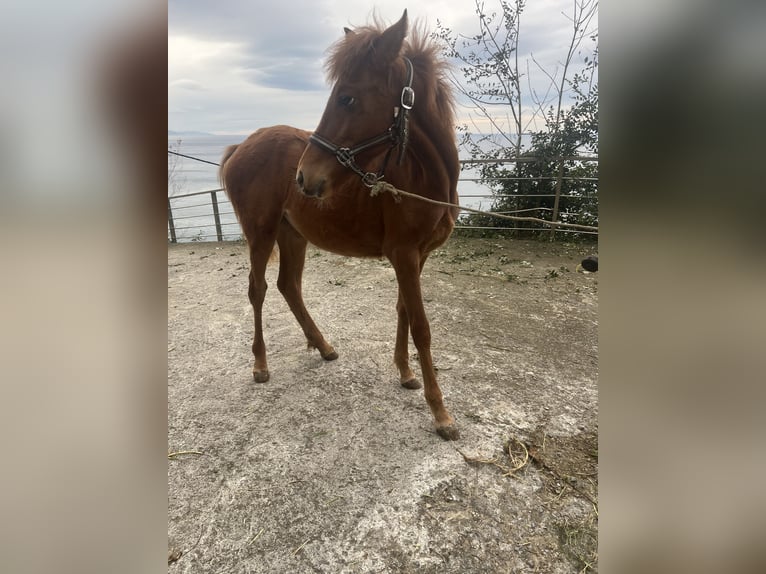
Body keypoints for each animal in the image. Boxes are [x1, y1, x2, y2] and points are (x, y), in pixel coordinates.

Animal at [220, 10, 460, 440]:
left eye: (347, 97)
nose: (304, 177)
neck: (421, 178)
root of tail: (241, 146)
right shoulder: (404, 255)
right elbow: (422, 326)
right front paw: (441, 414)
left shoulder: (417, 257)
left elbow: (402, 310)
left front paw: (405, 374)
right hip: (260, 234)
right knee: (258, 289)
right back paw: (261, 365)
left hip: (293, 236)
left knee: (289, 286)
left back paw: (324, 346)